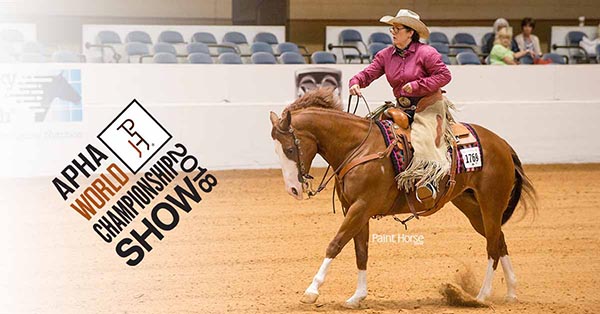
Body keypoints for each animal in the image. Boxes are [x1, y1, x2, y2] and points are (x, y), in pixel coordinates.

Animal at [270, 87, 536, 310]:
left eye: (290, 149)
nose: (293, 189)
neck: (358, 147)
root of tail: (502, 144)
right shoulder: (356, 210)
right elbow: (360, 250)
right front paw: (357, 297)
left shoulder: (361, 207)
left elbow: (336, 244)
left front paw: (311, 291)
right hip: (470, 206)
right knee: (499, 239)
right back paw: (511, 292)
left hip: (491, 202)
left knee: (492, 246)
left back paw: (481, 296)